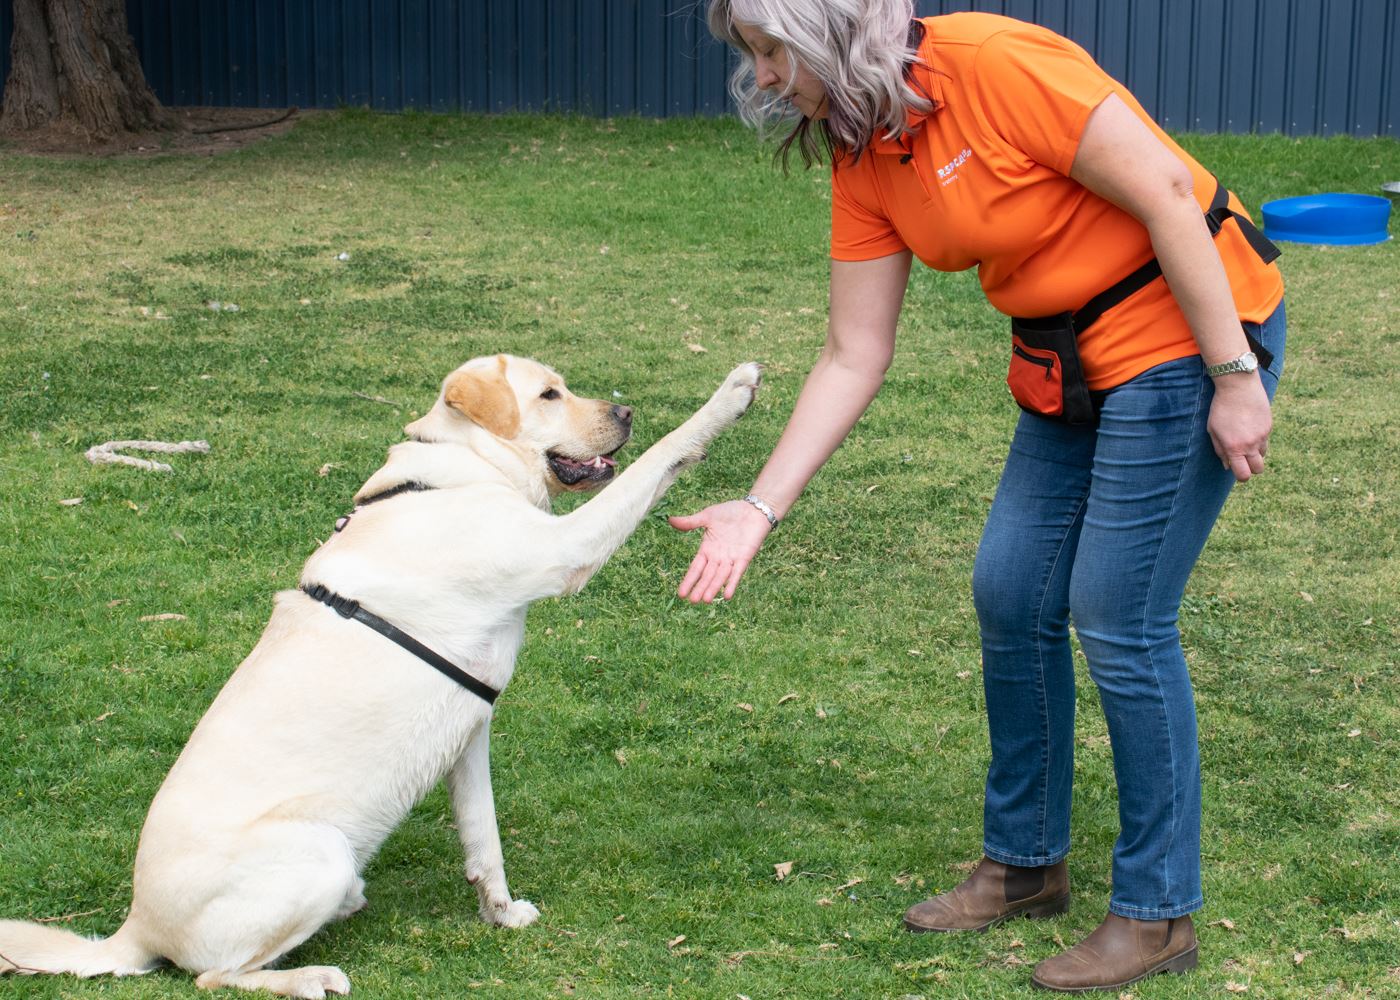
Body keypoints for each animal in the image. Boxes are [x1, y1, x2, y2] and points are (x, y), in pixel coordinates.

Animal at [2, 354, 767, 991]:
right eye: (550, 394)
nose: (627, 412)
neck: (460, 471)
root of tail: (134, 929)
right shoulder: (566, 549)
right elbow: (660, 460)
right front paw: (731, 393)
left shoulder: (470, 732)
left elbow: (484, 837)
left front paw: (501, 912)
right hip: (320, 853)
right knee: (213, 977)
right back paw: (309, 977)